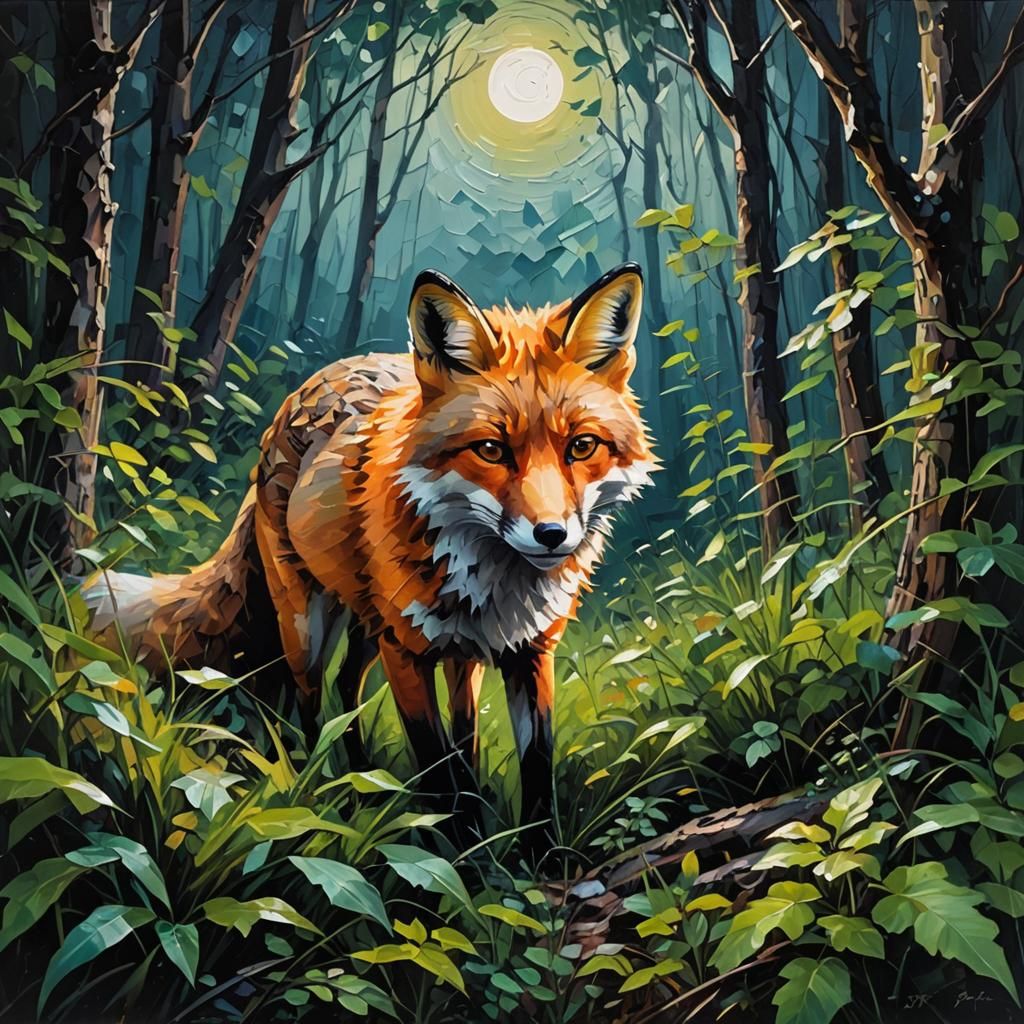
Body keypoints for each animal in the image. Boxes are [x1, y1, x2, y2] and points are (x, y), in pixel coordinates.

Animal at [84, 264, 656, 825]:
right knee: (309, 701)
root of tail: (306, 390)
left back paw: (364, 780)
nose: (552, 535)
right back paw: (324, 788)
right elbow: (439, 775)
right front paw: (457, 845)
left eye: (581, 446)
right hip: (310, 625)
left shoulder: (528, 653)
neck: (492, 585)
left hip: (384, 629)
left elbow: (530, 775)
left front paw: (528, 847)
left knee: (365, 695)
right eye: (492, 450)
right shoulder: (406, 654)